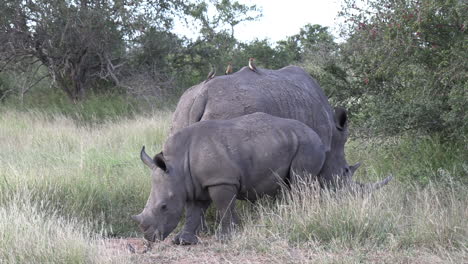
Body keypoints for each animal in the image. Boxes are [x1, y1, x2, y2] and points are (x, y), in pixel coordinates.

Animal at [133, 112, 328, 244]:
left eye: (163, 206)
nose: (149, 238)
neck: (178, 165)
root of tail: (316, 135)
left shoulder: (221, 180)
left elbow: (224, 207)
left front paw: (225, 238)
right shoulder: (195, 185)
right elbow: (193, 212)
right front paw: (183, 241)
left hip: (307, 144)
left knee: (300, 182)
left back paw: (302, 217)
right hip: (291, 141)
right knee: (292, 185)